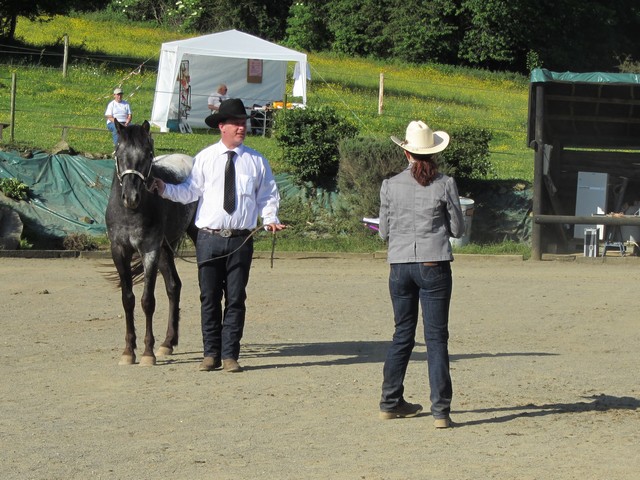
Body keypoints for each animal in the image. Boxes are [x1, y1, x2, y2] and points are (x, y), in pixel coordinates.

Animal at [106, 119, 197, 366]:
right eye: (118, 153)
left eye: (147, 154)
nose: (131, 197)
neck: (131, 212)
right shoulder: (119, 250)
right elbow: (128, 299)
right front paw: (128, 351)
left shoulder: (149, 250)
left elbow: (148, 301)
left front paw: (147, 352)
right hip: (166, 248)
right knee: (174, 286)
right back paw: (167, 343)